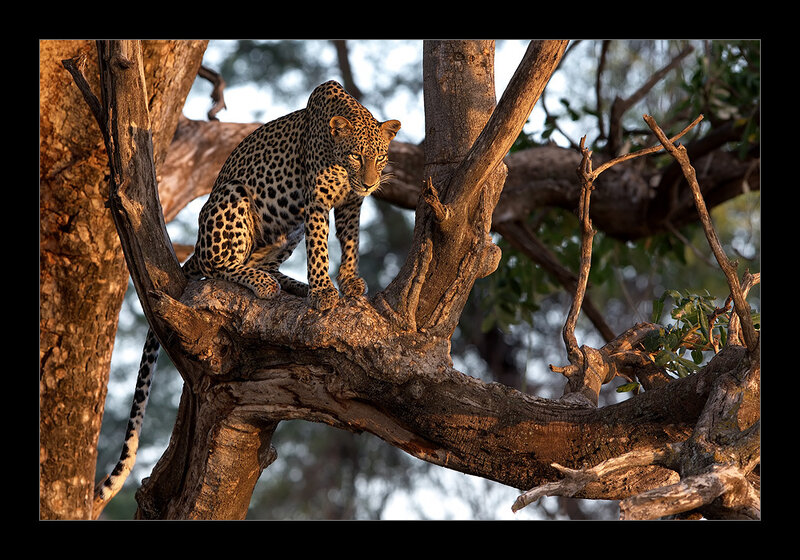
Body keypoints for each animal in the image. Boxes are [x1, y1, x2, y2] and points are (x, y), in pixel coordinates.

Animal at [93, 80, 401, 514]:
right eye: (356, 155)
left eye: (381, 157)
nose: (372, 183)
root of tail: (197, 244)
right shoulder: (317, 200)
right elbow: (321, 246)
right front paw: (324, 291)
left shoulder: (351, 204)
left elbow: (352, 240)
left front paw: (349, 282)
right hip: (234, 199)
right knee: (219, 265)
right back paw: (264, 282)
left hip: (283, 230)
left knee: (259, 261)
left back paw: (288, 284)